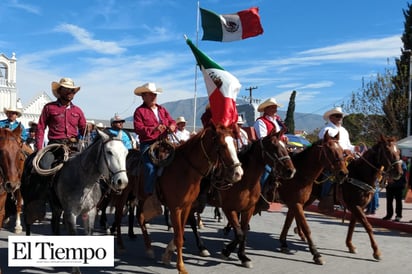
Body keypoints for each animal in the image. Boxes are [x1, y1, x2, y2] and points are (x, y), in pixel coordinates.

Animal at [135, 124, 245, 274]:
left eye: (235, 143)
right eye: (222, 146)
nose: (238, 173)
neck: (185, 170)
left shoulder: (186, 206)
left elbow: (181, 233)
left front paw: (168, 256)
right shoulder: (175, 208)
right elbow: (179, 238)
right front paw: (181, 267)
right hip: (138, 197)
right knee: (138, 218)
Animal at [276, 132, 348, 264]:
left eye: (342, 152)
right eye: (329, 150)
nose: (343, 173)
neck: (299, 174)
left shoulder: (295, 203)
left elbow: (288, 222)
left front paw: (283, 242)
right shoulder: (296, 204)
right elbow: (306, 227)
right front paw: (316, 254)